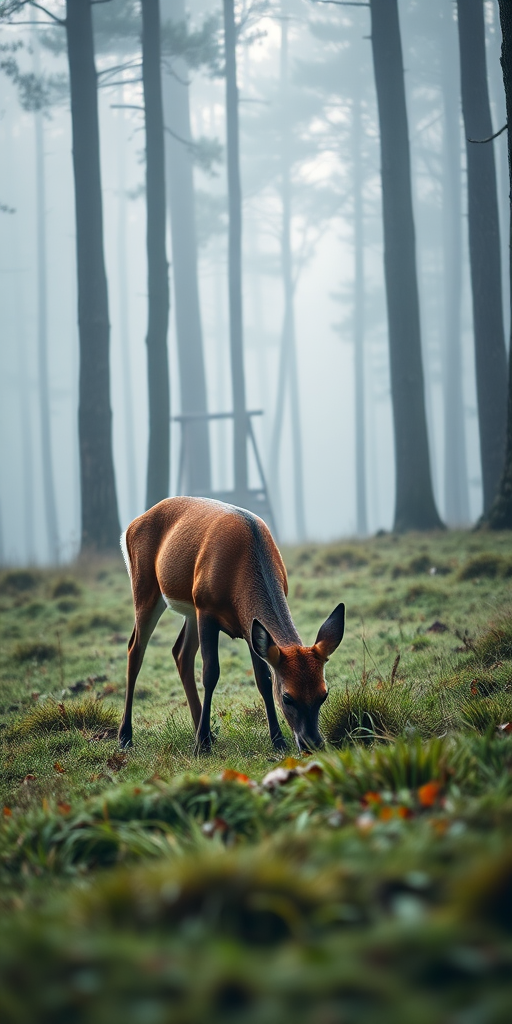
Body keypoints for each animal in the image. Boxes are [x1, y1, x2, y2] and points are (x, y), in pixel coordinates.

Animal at [119, 496, 345, 753]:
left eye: (324, 694)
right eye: (288, 697)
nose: (312, 743)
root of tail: (130, 526)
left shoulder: (249, 626)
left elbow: (263, 679)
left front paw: (278, 740)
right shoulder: (207, 609)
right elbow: (210, 673)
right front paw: (202, 745)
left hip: (190, 609)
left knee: (181, 653)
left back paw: (202, 730)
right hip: (147, 587)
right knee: (135, 649)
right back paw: (126, 736)